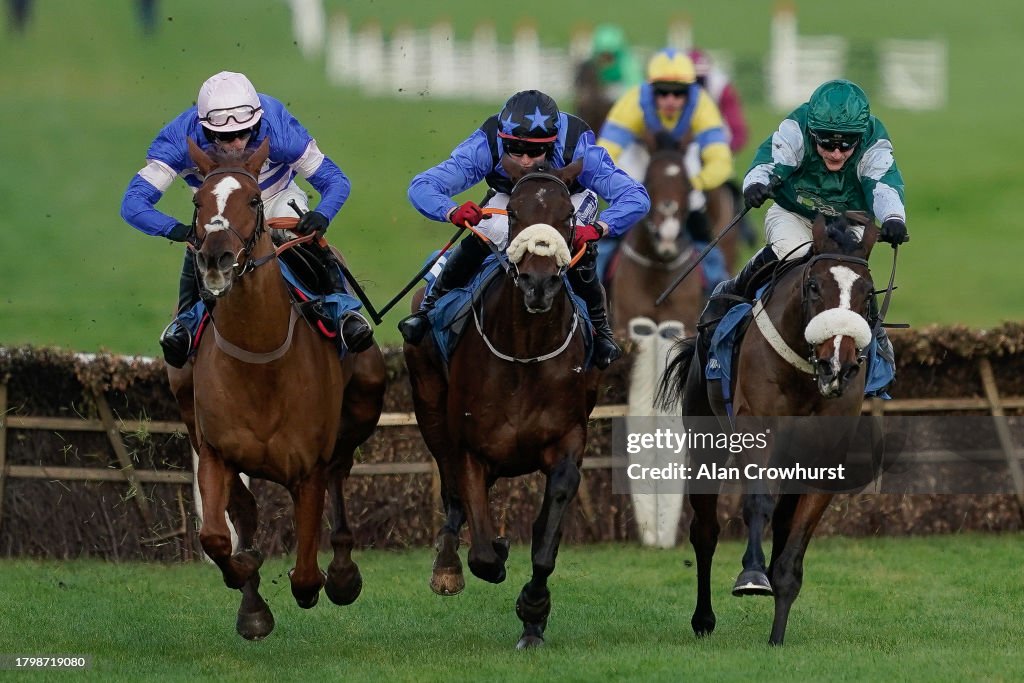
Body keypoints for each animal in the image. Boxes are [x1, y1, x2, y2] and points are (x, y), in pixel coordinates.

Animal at [165, 139, 385, 643]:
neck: (260, 359)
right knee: (244, 512)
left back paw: (343, 574)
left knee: (340, 472)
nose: (216, 259)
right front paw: (247, 579)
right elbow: (217, 537)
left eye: (252, 200)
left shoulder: (308, 468)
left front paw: (328, 579)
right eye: (197, 202)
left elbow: (304, 574)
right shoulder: (216, 453)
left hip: (363, 401)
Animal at [403, 156, 602, 651]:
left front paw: (533, 614)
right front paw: (486, 555)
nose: (539, 283)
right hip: (430, 409)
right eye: (513, 213)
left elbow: (545, 542)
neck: (525, 353)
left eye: (568, 217)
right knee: (451, 494)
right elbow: (483, 554)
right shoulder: (472, 450)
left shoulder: (568, 442)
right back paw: (447, 566)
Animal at [655, 214, 880, 647]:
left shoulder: (822, 460)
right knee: (705, 531)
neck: (806, 374)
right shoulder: (756, 429)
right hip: (706, 441)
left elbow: (795, 539)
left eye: (867, 295)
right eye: (814, 287)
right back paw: (703, 618)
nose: (837, 365)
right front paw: (752, 576)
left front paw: (777, 631)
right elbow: (757, 502)